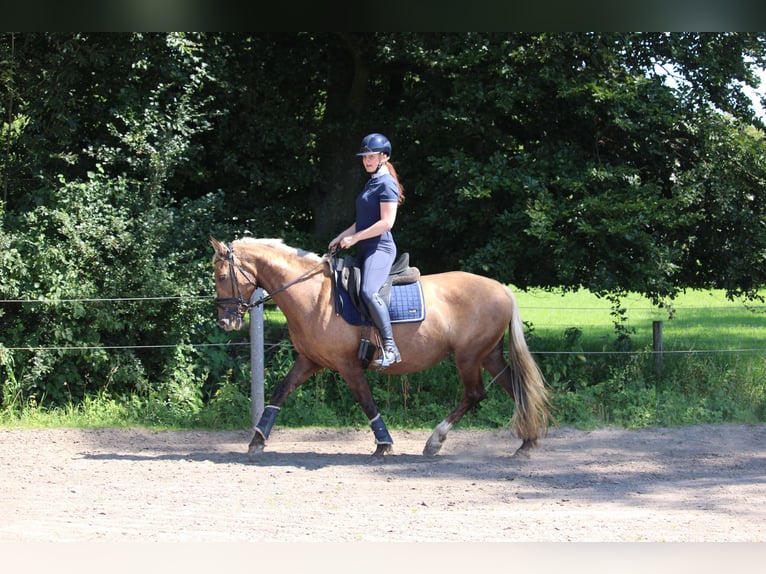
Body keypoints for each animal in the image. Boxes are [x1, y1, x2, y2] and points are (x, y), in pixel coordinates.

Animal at [213, 236, 556, 462]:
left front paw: (384, 444)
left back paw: (435, 442)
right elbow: (280, 392)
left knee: (475, 394)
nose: (226, 322)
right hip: (488, 355)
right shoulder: (309, 360)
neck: (313, 294)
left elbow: (367, 402)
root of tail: (502, 290)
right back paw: (526, 444)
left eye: (221, 276)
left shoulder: (348, 365)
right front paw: (257, 439)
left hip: (468, 357)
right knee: (515, 388)